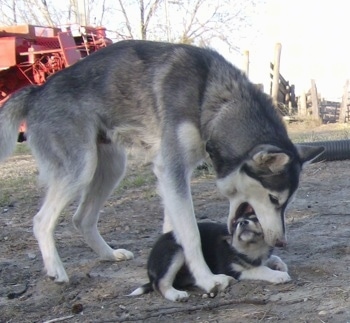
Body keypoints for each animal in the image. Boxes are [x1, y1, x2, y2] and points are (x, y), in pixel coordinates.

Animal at [130, 209, 292, 302]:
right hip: (177, 251)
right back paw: (176, 295)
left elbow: (271, 259)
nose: (243, 223)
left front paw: (280, 265)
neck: (252, 248)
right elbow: (260, 269)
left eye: (255, 218)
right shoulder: (233, 269)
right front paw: (279, 275)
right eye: (235, 224)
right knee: (160, 283)